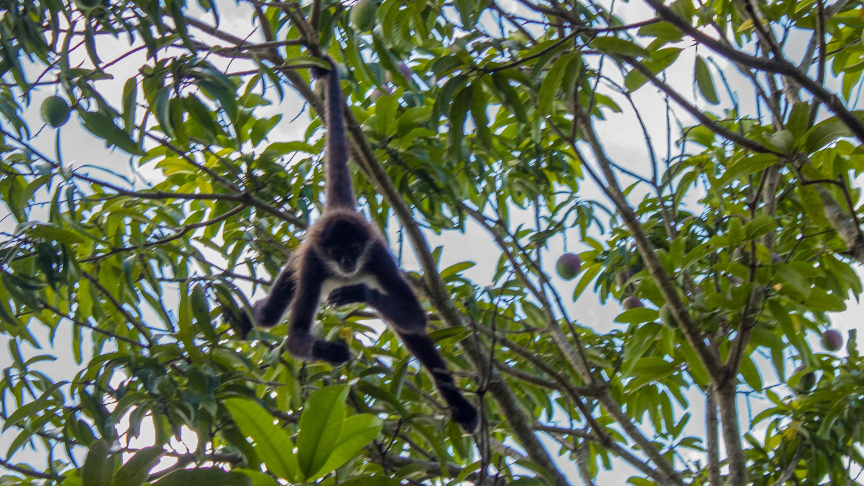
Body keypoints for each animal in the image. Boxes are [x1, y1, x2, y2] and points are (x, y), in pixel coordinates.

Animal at [238, 57, 480, 432]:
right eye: (337, 253)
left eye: (353, 250)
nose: (348, 265)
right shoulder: (312, 262)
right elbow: (295, 338)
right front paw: (328, 351)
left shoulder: (377, 255)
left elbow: (416, 319)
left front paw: (358, 294)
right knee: (270, 314)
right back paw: (251, 317)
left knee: (411, 331)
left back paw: (461, 407)